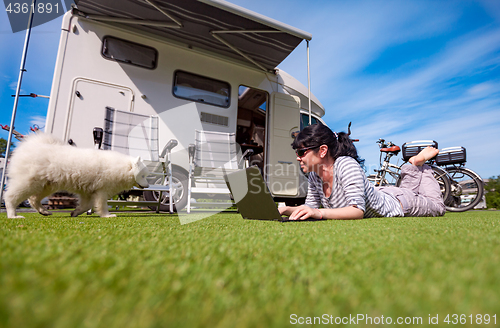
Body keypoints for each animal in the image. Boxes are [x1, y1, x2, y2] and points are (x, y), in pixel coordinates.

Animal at [4, 132, 148, 219]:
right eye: (143, 176)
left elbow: (86, 206)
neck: (121, 168)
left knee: (33, 199)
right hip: (28, 183)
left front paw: (75, 212)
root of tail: (29, 146)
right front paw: (107, 215)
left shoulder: (88, 192)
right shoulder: (101, 191)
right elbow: (102, 205)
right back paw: (13, 215)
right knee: (10, 197)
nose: (148, 186)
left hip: (46, 186)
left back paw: (43, 211)